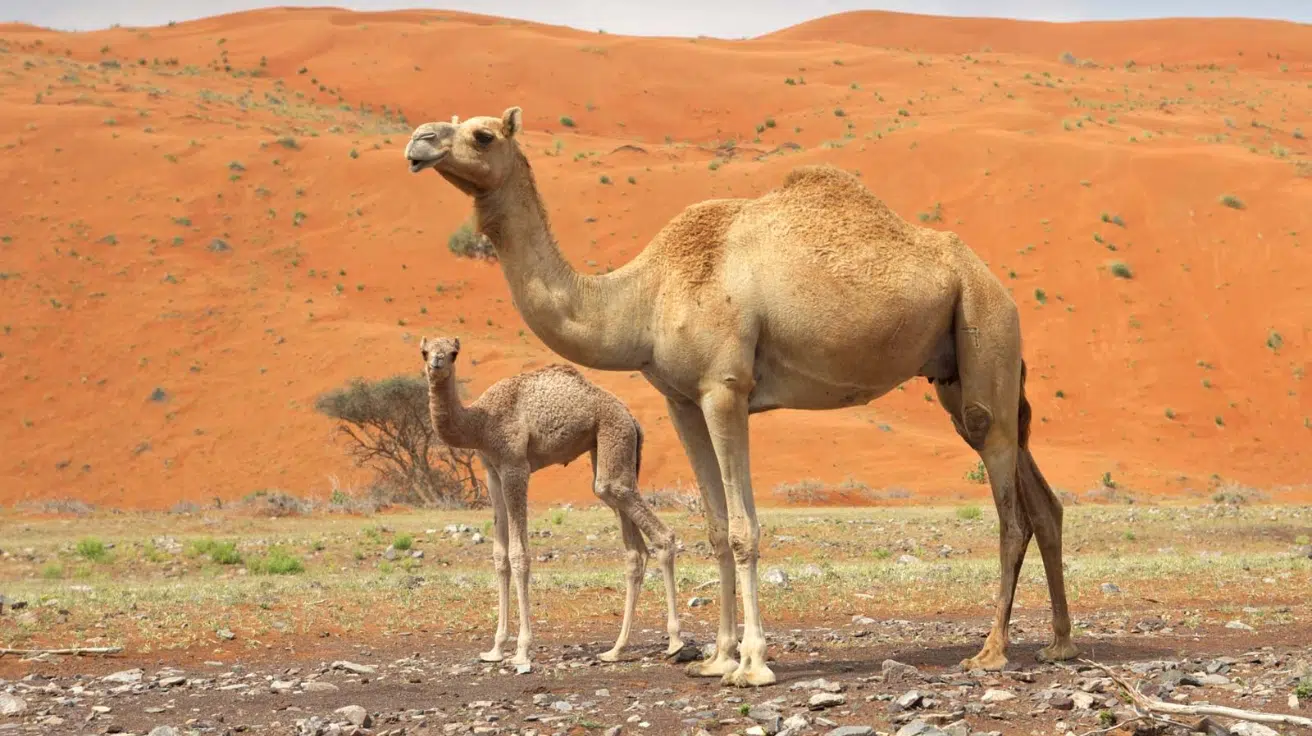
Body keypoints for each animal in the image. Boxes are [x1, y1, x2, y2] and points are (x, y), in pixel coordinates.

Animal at [419, 335, 685, 667]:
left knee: (660, 534)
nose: (436, 363)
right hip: (607, 450)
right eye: (424, 351)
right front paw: (495, 649)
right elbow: (499, 556)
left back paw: (675, 642)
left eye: (454, 353)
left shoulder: (515, 467)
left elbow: (519, 555)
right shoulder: (492, 471)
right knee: (633, 547)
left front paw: (522, 651)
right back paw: (615, 649)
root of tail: (633, 420)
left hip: (614, 435)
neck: (479, 422)